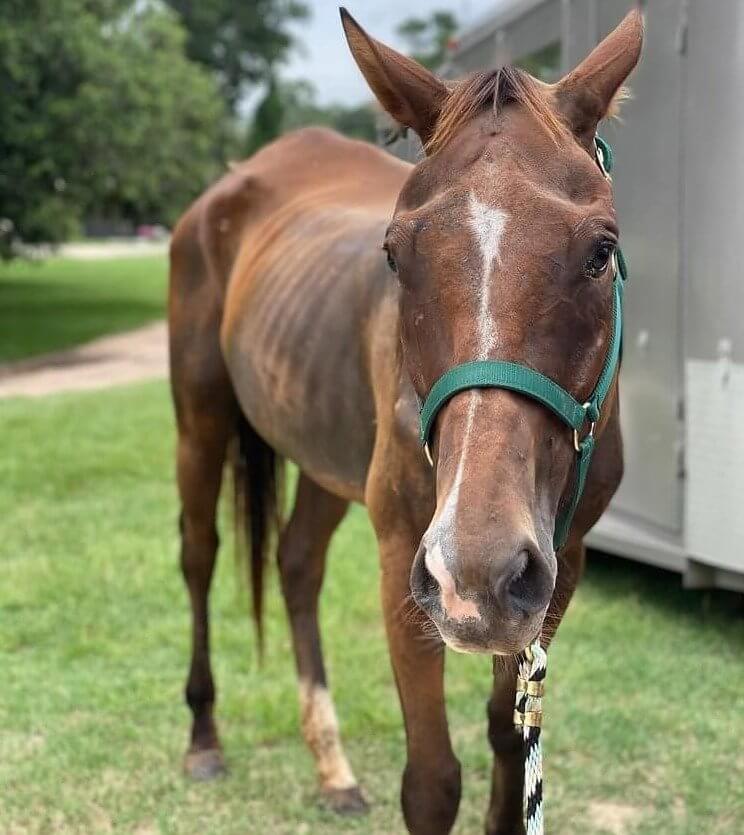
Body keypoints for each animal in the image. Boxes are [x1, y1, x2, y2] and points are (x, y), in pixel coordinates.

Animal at [167, 8, 644, 833]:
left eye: (600, 250)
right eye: (395, 255)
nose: (477, 567)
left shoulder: (557, 568)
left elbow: (510, 740)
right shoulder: (405, 559)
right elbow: (431, 779)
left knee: (296, 564)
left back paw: (331, 764)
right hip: (200, 421)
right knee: (200, 555)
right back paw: (204, 737)